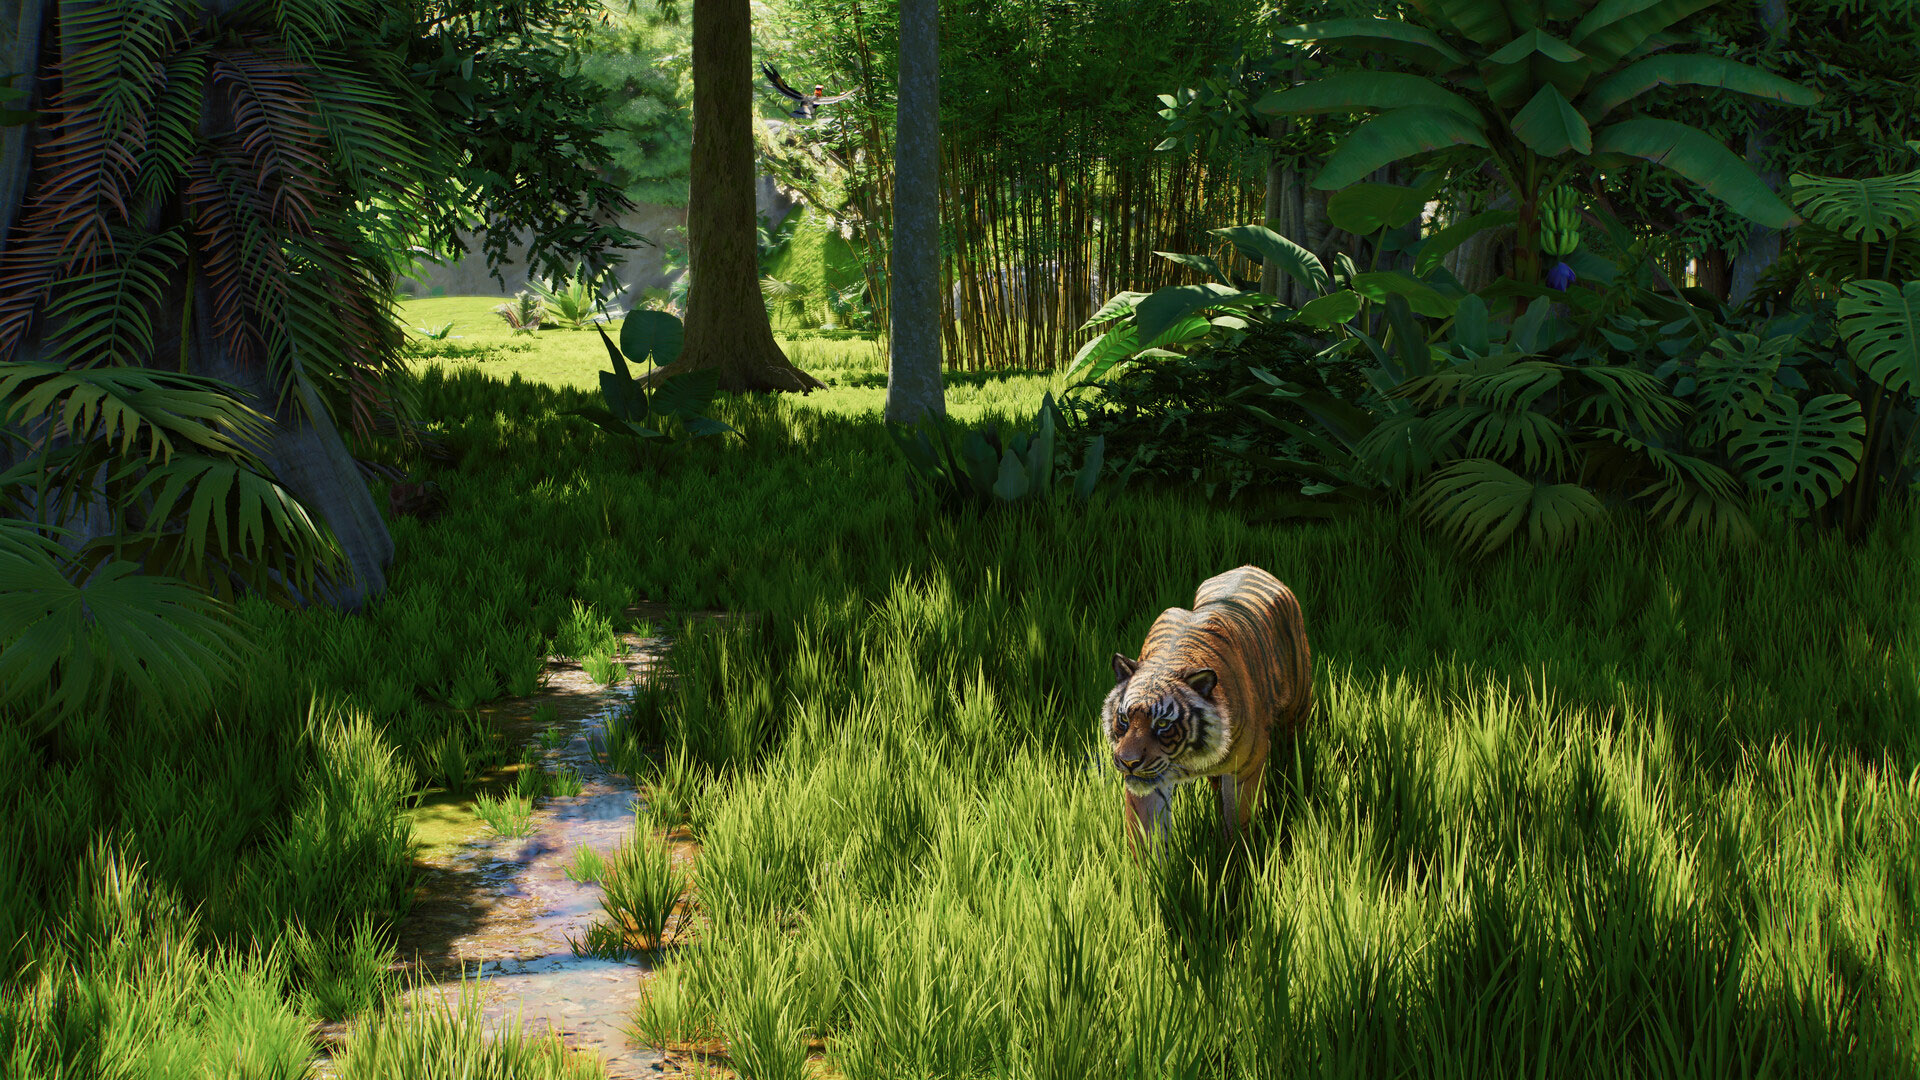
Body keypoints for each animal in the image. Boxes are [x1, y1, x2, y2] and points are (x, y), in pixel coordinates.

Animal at [1103, 565, 1313, 849]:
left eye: (1162, 724)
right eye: (1124, 719)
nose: (1129, 762)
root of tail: (1252, 567)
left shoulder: (1245, 771)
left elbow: (1239, 827)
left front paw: (1236, 858)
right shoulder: (1147, 783)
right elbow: (1147, 839)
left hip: (1296, 711)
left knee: (1292, 750)